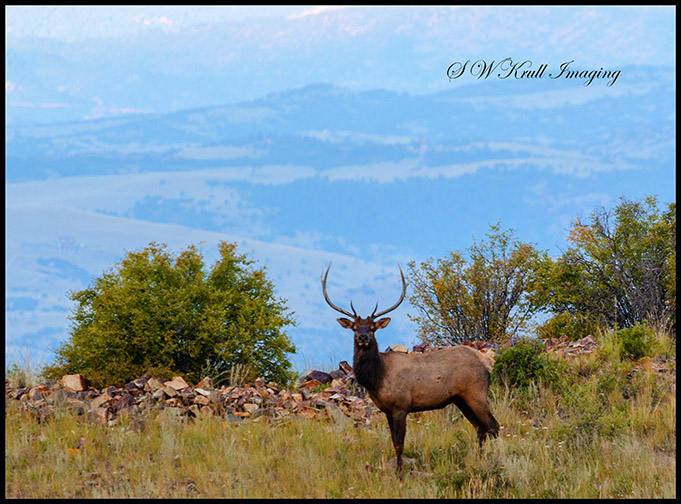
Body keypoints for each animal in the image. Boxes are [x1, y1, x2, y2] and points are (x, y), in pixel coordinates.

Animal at [321, 262, 499, 477]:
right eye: (355, 328)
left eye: (373, 328)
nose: (363, 337)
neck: (377, 378)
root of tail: (486, 364)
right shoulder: (387, 410)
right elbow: (393, 441)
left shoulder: (401, 406)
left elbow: (399, 443)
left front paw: (400, 473)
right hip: (460, 399)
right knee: (481, 428)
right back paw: (478, 459)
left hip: (476, 393)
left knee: (493, 426)